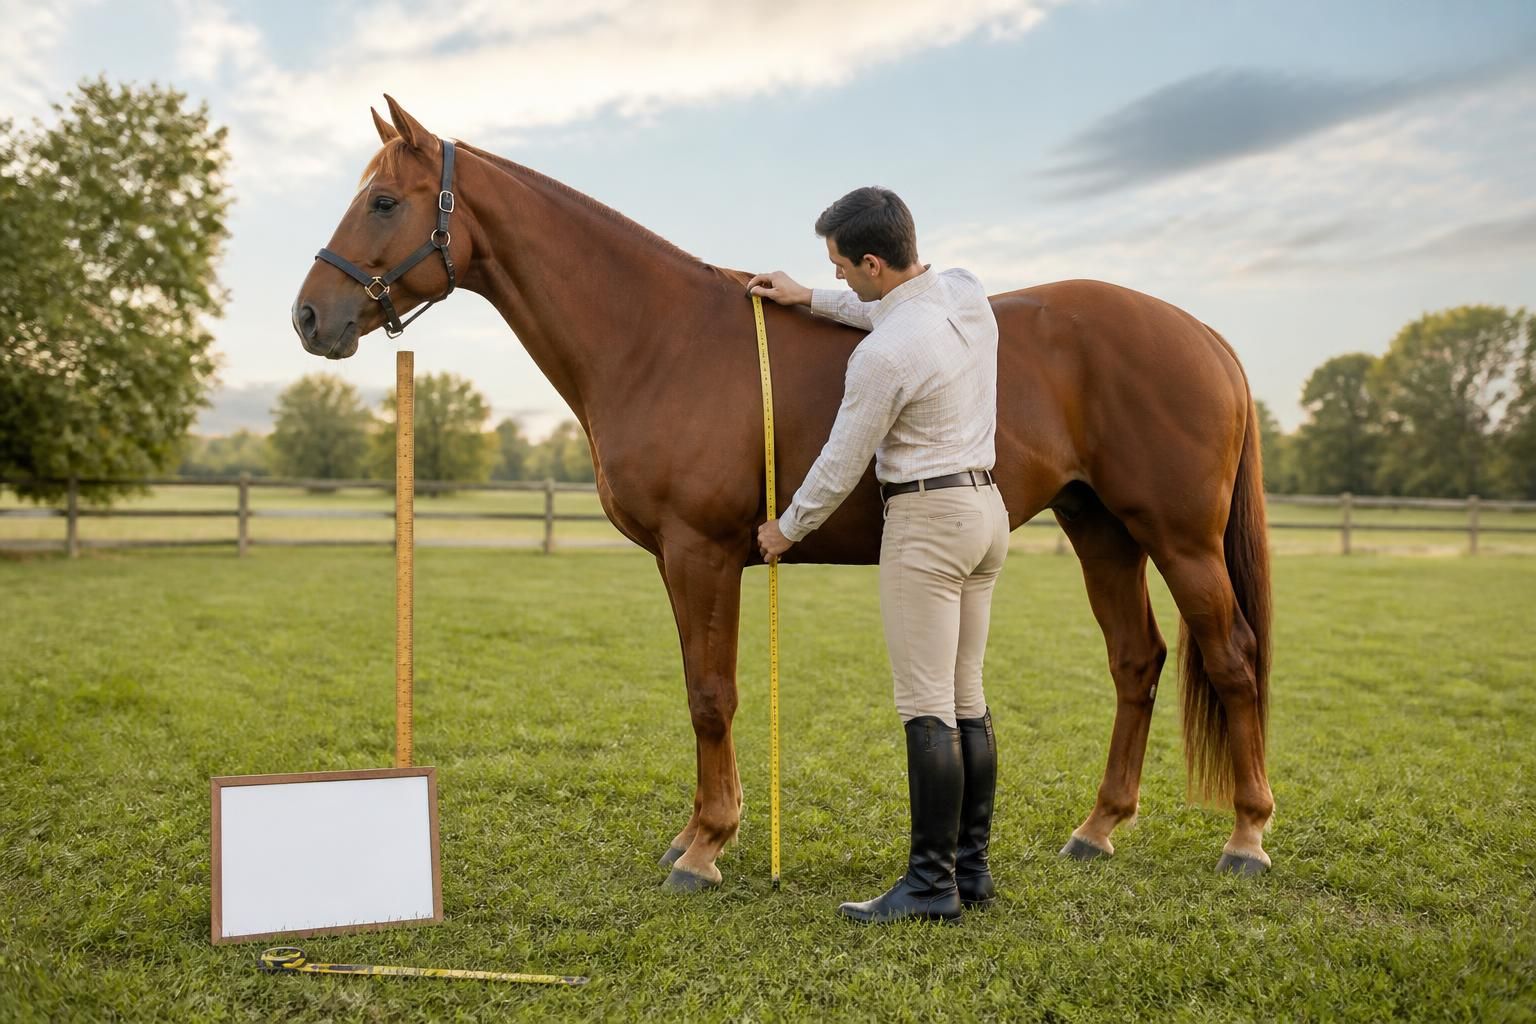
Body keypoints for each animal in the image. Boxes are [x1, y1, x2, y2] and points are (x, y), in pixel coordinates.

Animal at [291, 97, 1275, 890]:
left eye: (385, 201)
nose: (308, 316)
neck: (658, 337)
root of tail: (1205, 336)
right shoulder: (682, 560)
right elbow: (701, 687)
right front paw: (700, 831)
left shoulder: (701, 552)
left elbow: (711, 695)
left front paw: (706, 847)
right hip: (1100, 528)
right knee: (1137, 661)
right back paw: (1098, 828)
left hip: (1179, 539)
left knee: (1230, 657)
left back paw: (1247, 837)